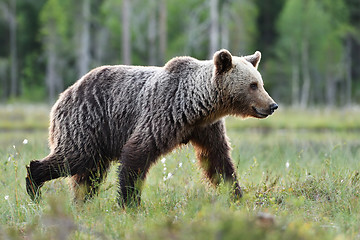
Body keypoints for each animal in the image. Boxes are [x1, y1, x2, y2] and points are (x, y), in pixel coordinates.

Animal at [26, 48, 278, 206]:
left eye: (260, 83)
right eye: (253, 85)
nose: (272, 105)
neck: (197, 106)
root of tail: (63, 94)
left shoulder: (206, 129)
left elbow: (218, 161)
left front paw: (236, 195)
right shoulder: (162, 113)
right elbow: (136, 154)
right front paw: (130, 203)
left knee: (89, 174)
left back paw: (81, 202)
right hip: (87, 122)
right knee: (74, 158)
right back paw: (34, 185)